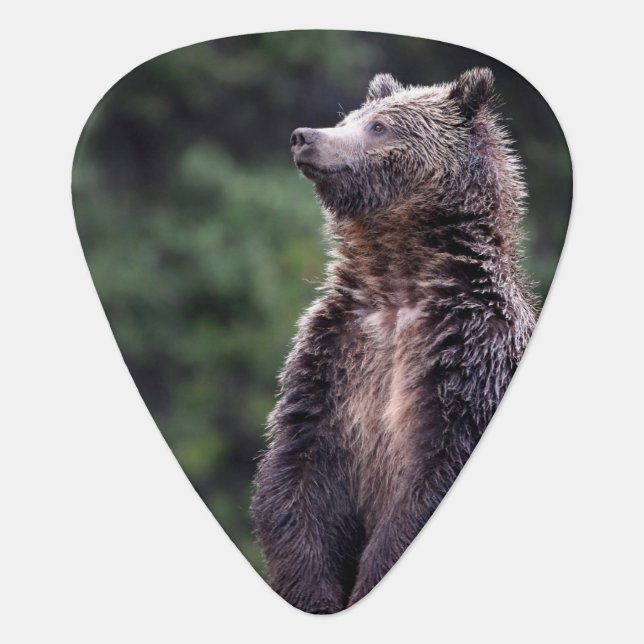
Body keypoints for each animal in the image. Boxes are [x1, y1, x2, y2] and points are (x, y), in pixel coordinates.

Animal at [250, 68, 537, 614]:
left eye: (379, 126)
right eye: (349, 117)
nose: (305, 136)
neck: (397, 280)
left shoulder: (465, 358)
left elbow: (428, 482)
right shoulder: (333, 358)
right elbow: (297, 473)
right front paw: (313, 593)